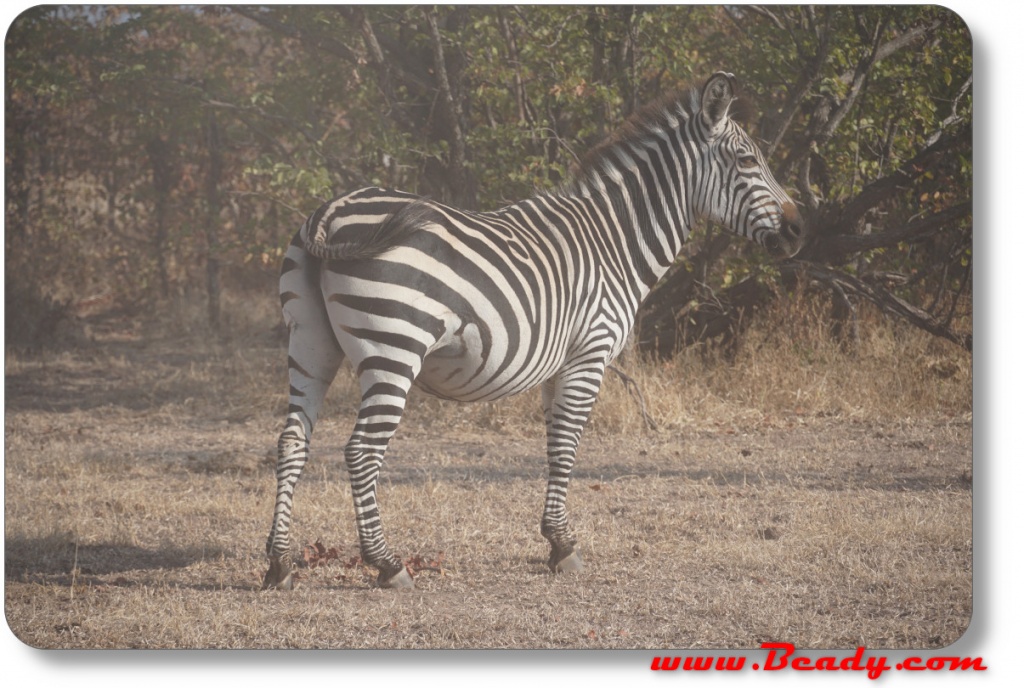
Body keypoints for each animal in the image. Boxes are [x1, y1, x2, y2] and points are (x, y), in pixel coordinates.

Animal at [264, 73, 806, 589]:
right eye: (747, 160)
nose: (800, 231)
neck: (614, 241)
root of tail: (332, 211)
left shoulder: (558, 362)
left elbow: (553, 442)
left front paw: (554, 538)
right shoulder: (590, 352)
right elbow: (567, 443)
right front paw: (564, 546)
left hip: (310, 343)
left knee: (292, 441)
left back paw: (280, 563)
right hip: (393, 347)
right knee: (361, 452)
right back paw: (387, 564)